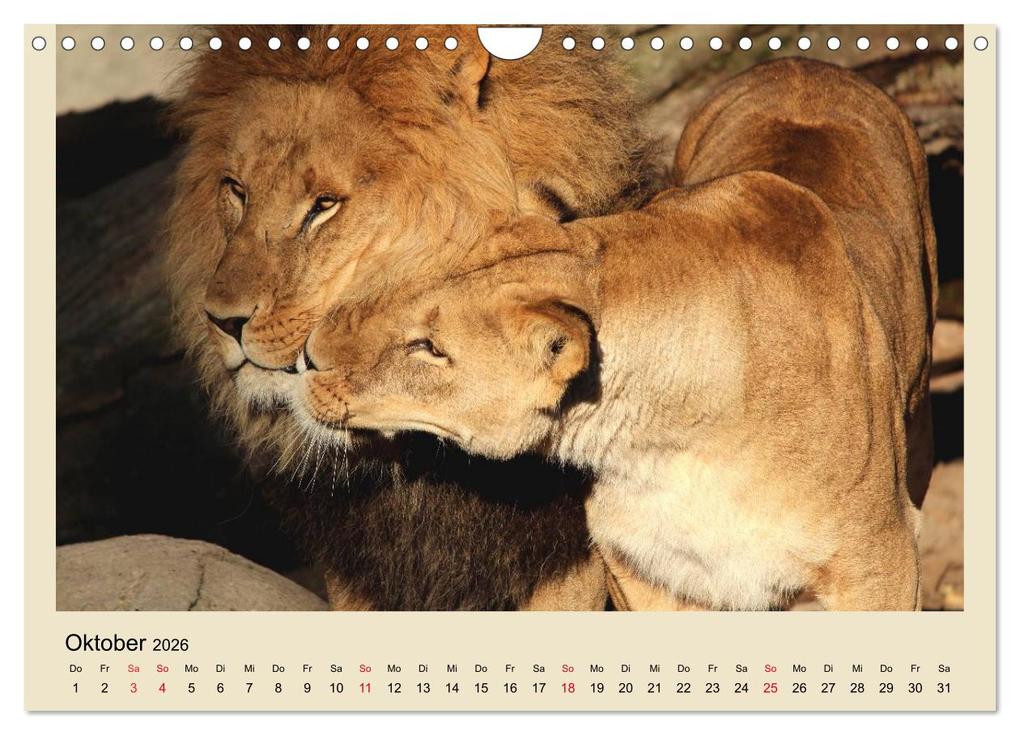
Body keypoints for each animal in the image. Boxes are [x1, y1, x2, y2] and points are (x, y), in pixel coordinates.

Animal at [290, 59, 935, 611]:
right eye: (395, 286)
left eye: (429, 348)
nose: (306, 358)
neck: (666, 445)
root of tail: (806, 63)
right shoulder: (641, 566)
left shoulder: (881, 561)